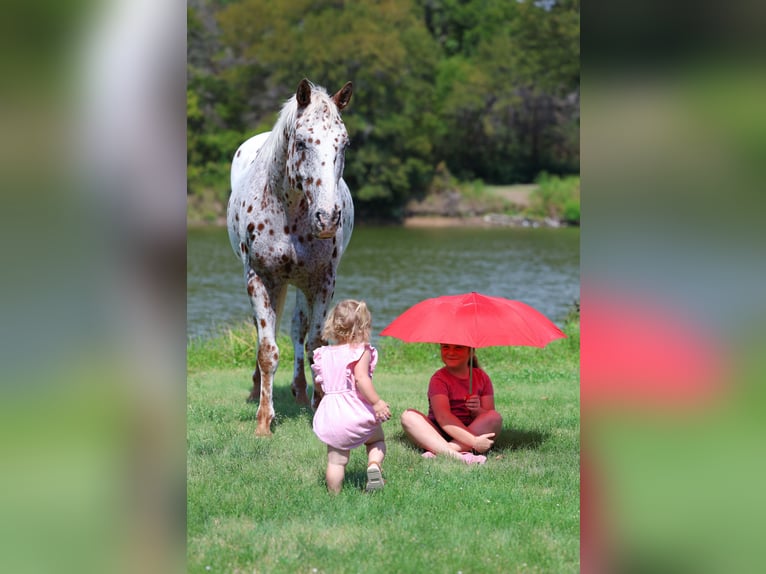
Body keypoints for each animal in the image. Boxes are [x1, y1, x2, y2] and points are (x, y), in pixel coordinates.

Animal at [227, 78, 354, 436]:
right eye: (301, 143)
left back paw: (299, 391)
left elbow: (315, 343)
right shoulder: (259, 279)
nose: (328, 218)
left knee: (298, 328)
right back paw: (258, 389)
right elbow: (267, 350)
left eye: (344, 143)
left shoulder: (323, 281)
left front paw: (320, 407)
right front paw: (263, 421)